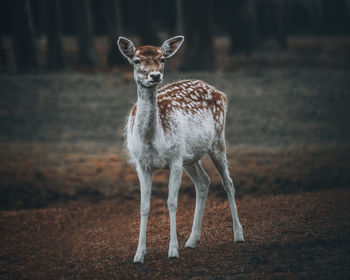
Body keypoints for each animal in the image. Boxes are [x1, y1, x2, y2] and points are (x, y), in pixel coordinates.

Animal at [117, 35, 243, 262]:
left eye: (162, 59)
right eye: (136, 61)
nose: (155, 75)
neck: (153, 139)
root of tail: (221, 93)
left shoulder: (174, 159)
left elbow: (172, 202)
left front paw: (173, 250)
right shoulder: (142, 163)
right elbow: (144, 206)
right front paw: (139, 254)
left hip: (217, 141)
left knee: (228, 182)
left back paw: (238, 234)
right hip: (190, 156)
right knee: (204, 182)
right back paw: (192, 240)